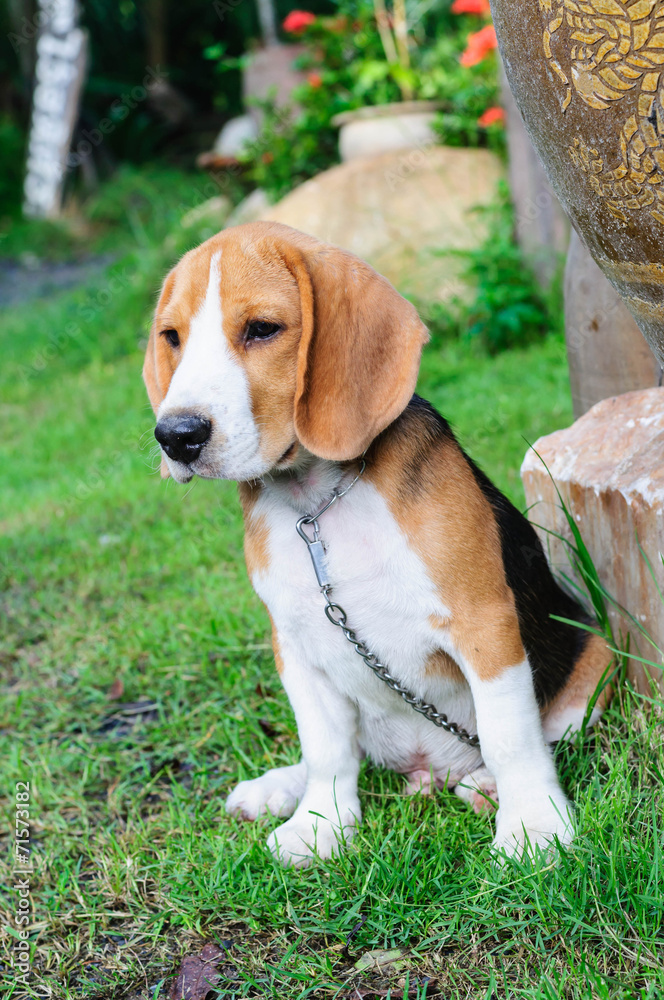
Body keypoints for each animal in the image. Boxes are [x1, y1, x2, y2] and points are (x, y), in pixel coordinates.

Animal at [144, 223, 612, 864]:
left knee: (541, 738)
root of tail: (426, 771)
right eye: (172, 337)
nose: (177, 436)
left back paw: (486, 785)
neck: (318, 504)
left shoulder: (485, 624)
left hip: (599, 657)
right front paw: (320, 823)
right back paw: (278, 787)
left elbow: (511, 736)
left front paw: (533, 826)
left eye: (262, 329)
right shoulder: (294, 645)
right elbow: (326, 750)